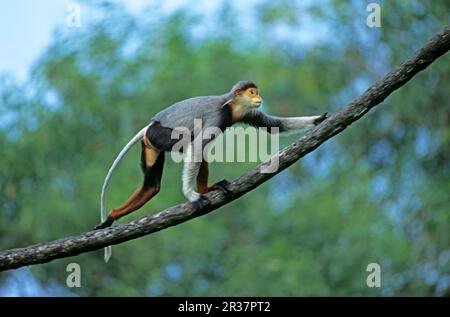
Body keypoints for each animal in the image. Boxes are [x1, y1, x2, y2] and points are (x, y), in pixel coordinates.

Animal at [96, 80, 326, 260]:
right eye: (252, 92)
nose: (259, 97)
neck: (231, 107)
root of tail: (150, 126)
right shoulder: (218, 116)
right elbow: (196, 146)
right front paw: (191, 195)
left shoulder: (246, 113)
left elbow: (274, 125)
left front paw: (319, 119)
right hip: (160, 135)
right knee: (191, 142)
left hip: (151, 144)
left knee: (152, 186)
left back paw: (112, 216)